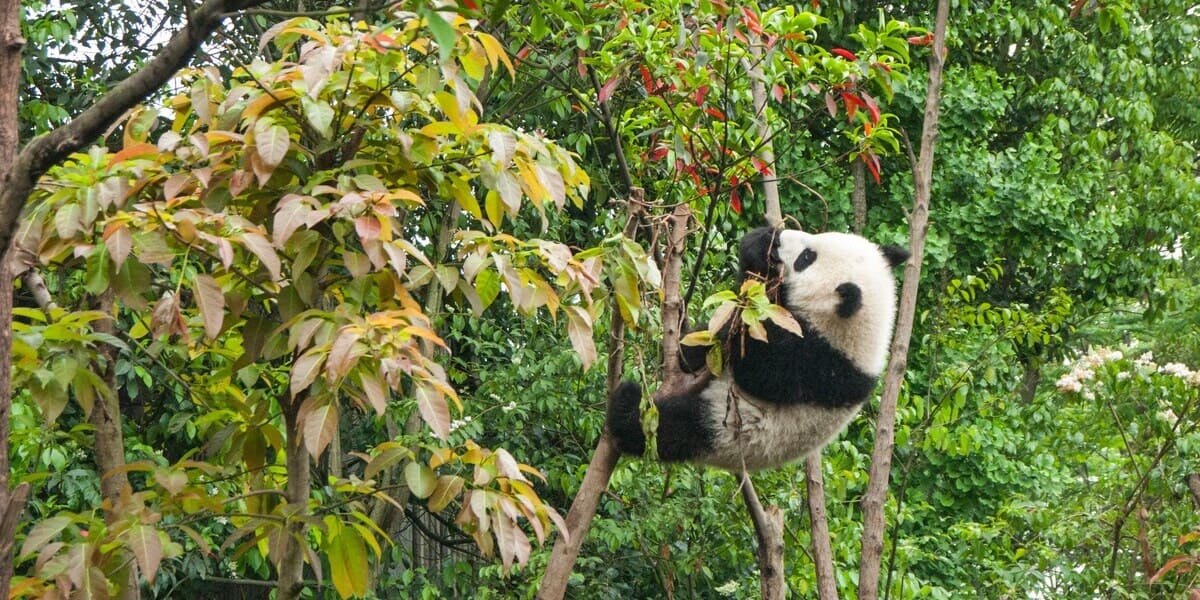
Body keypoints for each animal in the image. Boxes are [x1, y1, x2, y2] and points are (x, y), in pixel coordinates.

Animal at [609, 225, 907, 472]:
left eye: (806, 258)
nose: (781, 236)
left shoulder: (819, 365)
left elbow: (757, 369)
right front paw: (759, 242)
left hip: (725, 430)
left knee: (670, 428)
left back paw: (626, 404)